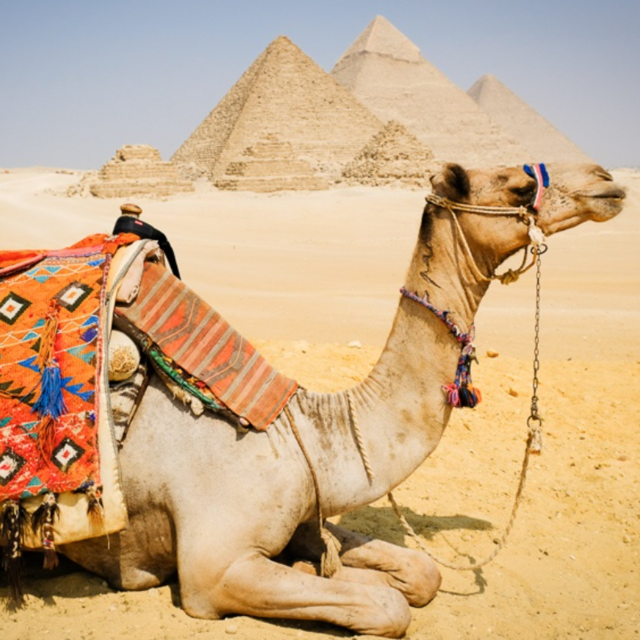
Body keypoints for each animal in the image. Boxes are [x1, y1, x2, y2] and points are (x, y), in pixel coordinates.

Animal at [57, 162, 625, 637]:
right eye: (521, 187)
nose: (606, 181)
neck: (292, 431)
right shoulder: (212, 572)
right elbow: (388, 606)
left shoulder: (304, 516)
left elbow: (422, 572)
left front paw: (320, 566)